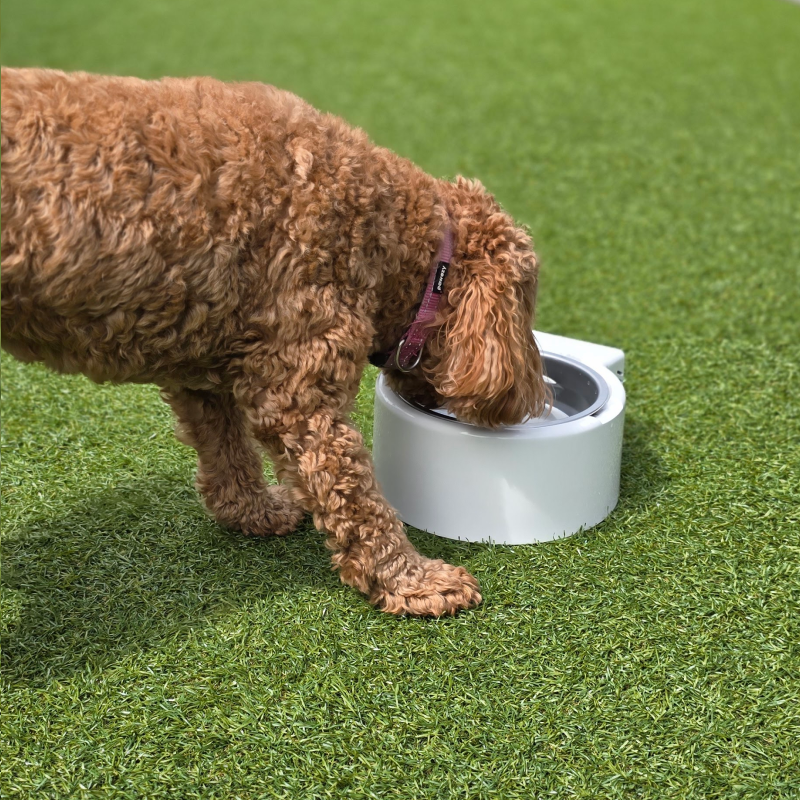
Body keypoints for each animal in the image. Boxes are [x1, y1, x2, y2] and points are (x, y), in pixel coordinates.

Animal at [0, 70, 548, 620]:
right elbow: (358, 497)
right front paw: (412, 580)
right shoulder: (298, 391)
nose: (528, 401)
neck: (395, 237)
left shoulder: (204, 359)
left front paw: (254, 510)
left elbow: (227, 452)